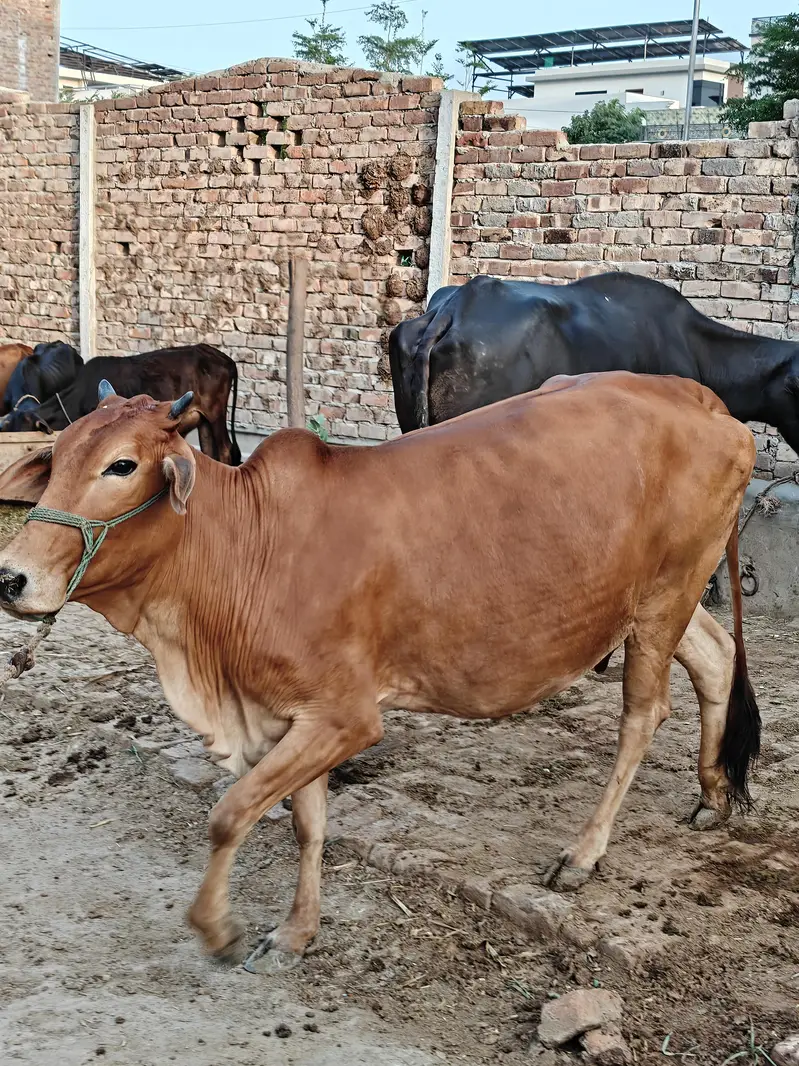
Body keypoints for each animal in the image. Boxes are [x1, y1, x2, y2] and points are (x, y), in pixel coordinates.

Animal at [0, 371, 759, 969]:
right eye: (58, 457)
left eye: (122, 467)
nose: (12, 578)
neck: (245, 545)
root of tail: (699, 398)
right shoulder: (294, 715)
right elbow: (305, 823)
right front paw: (296, 933)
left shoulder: (345, 717)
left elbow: (230, 812)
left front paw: (218, 929)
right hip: (660, 598)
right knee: (716, 658)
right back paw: (712, 792)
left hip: (663, 597)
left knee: (644, 712)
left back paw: (584, 852)